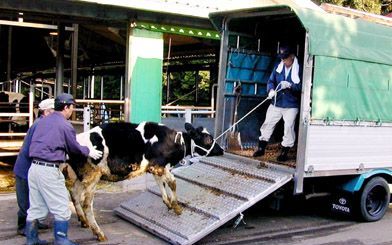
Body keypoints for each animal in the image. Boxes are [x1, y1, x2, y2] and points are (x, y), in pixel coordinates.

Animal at [67, 121, 224, 240]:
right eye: (208, 139)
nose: (222, 149)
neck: (174, 142)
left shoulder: (156, 168)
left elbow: (161, 183)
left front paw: (168, 203)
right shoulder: (159, 165)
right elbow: (172, 182)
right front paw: (177, 207)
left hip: (79, 176)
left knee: (74, 193)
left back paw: (83, 221)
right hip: (92, 177)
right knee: (87, 204)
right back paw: (99, 233)